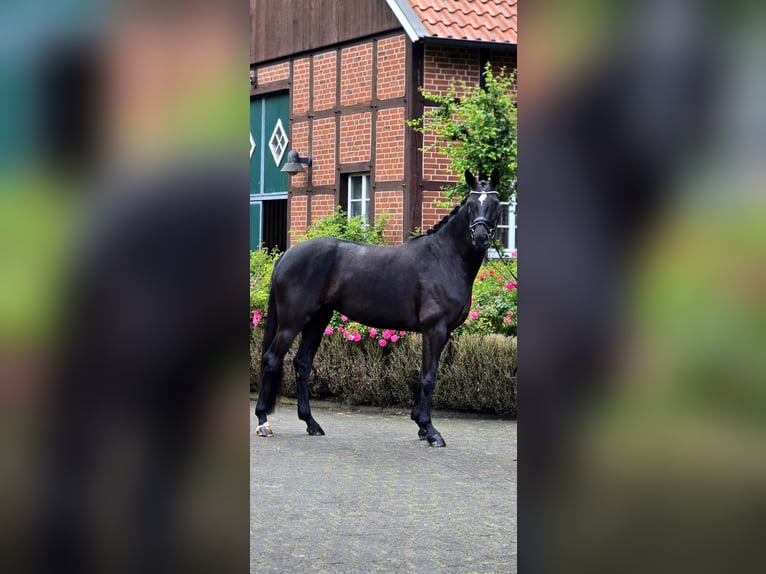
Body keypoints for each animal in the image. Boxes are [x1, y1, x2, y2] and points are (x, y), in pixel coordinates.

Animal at [254, 169, 501, 446]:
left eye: (495, 203)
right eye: (471, 204)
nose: (480, 238)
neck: (445, 258)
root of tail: (286, 255)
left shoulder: (442, 332)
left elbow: (423, 374)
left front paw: (421, 426)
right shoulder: (435, 329)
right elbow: (429, 376)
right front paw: (431, 431)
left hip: (318, 319)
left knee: (302, 363)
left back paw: (311, 423)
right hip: (292, 321)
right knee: (272, 359)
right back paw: (263, 421)